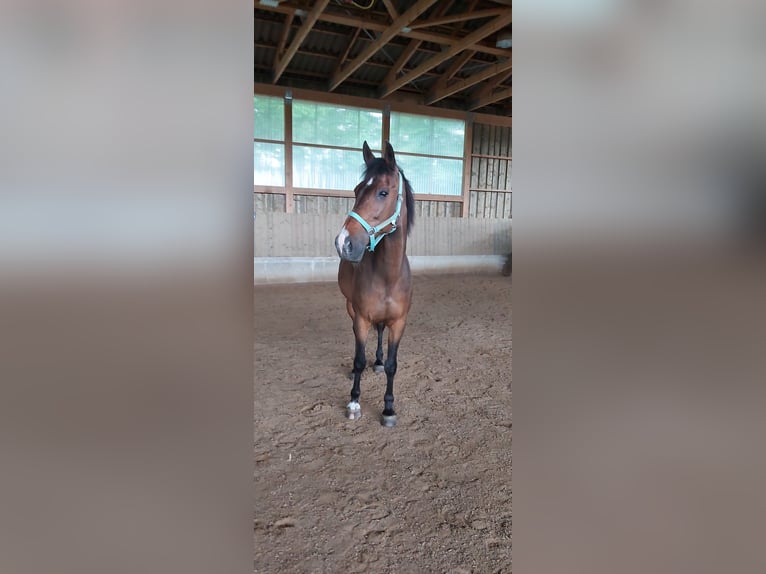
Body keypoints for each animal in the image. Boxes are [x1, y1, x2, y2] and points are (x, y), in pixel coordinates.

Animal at [334, 141, 416, 428]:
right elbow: (359, 359)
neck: (388, 277)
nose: (344, 242)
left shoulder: (399, 322)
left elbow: (393, 364)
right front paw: (354, 403)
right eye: (357, 190)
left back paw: (378, 362)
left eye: (383, 192)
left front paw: (388, 409)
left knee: (379, 333)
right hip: (349, 307)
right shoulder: (361, 318)